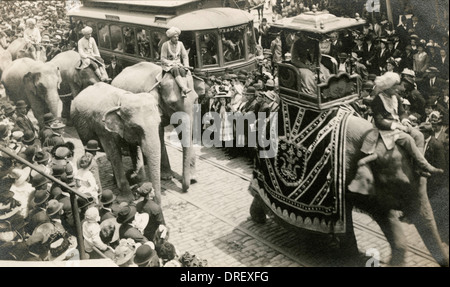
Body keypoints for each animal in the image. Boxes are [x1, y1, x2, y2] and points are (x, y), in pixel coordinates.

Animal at [111, 62, 199, 194]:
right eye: (172, 104)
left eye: (196, 99)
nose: (185, 189)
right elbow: (159, 133)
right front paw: (166, 176)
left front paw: (193, 178)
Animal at [250, 113, 450, 268]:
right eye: (402, 186)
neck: (373, 143)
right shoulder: (340, 179)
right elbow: (346, 222)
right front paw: (353, 259)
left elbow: (386, 217)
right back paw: (258, 218)